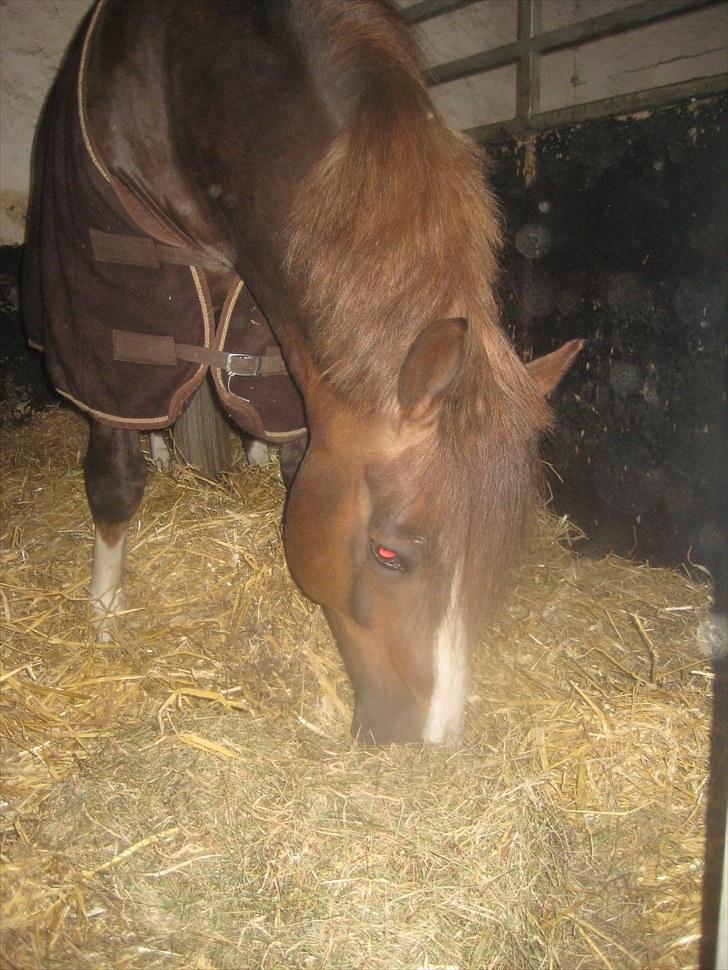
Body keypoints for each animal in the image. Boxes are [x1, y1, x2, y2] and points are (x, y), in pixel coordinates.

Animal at [23, 0, 582, 744]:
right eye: (388, 554)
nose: (431, 745)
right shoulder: (114, 301)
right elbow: (115, 477)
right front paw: (105, 611)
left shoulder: (271, 321)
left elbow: (287, 446)